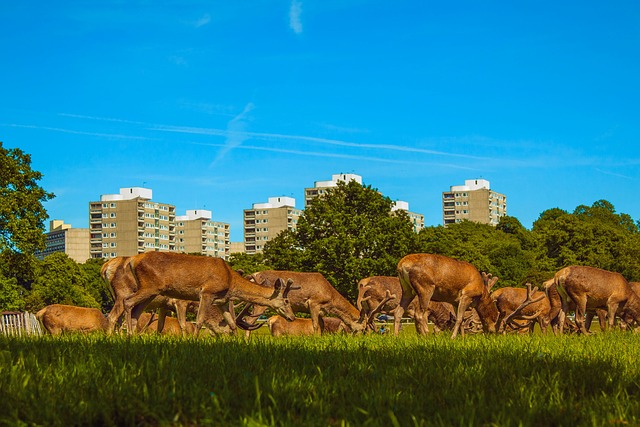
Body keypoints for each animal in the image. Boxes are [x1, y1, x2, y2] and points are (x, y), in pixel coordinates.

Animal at [121, 252, 296, 336]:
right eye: (286, 301)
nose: (292, 317)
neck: (230, 280)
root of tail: (132, 260)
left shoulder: (222, 301)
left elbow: (232, 324)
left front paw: (239, 342)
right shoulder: (207, 293)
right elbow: (199, 321)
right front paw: (194, 340)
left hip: (151, 292)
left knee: (136, 310)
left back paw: (132, 335)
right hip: (149, 286)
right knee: (127, 302)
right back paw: (128, 334)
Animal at [238, 270, 392, 338]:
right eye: (363, 327)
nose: (360, 337)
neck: (329, 298)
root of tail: (253, 275)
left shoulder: (321, 310)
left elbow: (321, 325)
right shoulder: (313, 302)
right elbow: (315, 325)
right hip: (261, 303)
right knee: (248, 320)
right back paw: (246, 341)